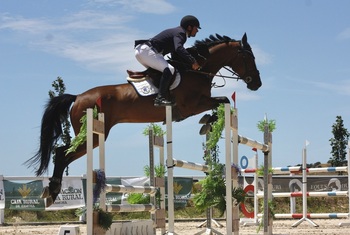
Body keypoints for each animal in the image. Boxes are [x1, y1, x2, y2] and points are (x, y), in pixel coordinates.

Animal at [26, 32, 262, 206]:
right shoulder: (192, 106)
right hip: (92, 136)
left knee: (62, 153)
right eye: (249, 57)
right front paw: (208, 122)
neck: (197, 71)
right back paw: (53, 191)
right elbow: (223, 101)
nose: (256, 84)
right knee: (61, 153)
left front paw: (208, 123)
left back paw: (52, 191)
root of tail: (78, 97)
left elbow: (223, 102)